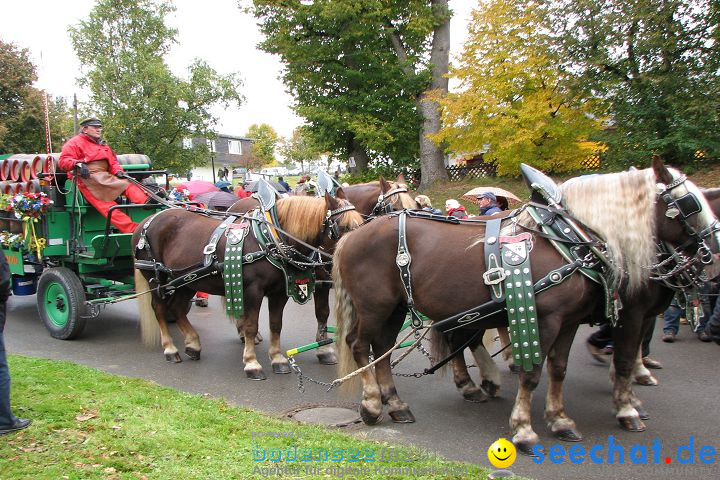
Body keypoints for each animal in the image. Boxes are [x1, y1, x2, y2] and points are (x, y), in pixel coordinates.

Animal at [132, 194, 362, 378]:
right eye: (341, 228)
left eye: (359, 225)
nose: (354, 252)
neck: (270, 239)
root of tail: (146, 221)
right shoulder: (252, 291)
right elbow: (252, 325)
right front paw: (252, 363)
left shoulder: (280, 292)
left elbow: (276, 325)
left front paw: (277, 359)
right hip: (157, 280)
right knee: (160, 309)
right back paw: (171, 349)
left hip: (186, 283)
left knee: (177, 308)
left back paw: (193, 344)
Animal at [228, 172, 420, 364]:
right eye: (395, 207)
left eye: (414, 206)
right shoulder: (322, 282)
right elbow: (322, 312)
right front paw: (325, 348)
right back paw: (245, 334)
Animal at [334, 159, 720, 456]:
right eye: (689, 204)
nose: (713, 251)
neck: (571, 238)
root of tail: (353, 233)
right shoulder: (559, 317)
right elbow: (538, 371)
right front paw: (525, 429)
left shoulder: (571, 321)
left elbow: (559, 369)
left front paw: (561, 419)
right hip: (375, 307)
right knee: (360, 345)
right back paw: (373, 404)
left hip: (397, 307)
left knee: (385, 348)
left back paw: (399, 404)